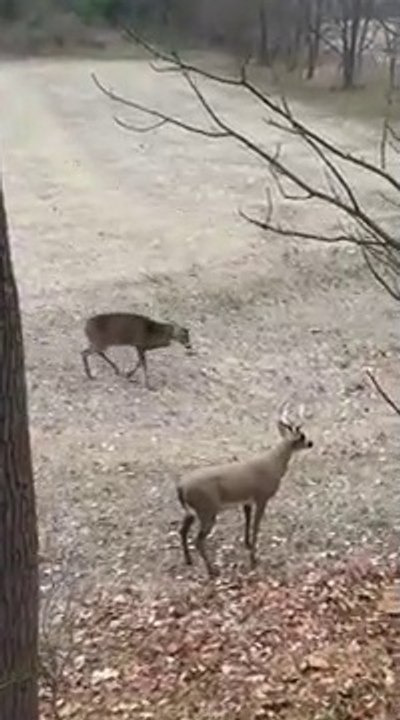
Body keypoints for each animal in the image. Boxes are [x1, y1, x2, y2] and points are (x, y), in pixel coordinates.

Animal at [176, 405, 313, 578]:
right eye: (301, 436)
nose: (311, 443)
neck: (274, 465)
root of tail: (180, 486)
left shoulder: (247, 500)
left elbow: (247, 520)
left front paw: (247, 544)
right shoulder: (262, 496)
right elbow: (256, 525)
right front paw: (254, 559)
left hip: (191, 511)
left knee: (182, 530)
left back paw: (188, 560)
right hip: (206, 509)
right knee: (198, 540)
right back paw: (212, 570)